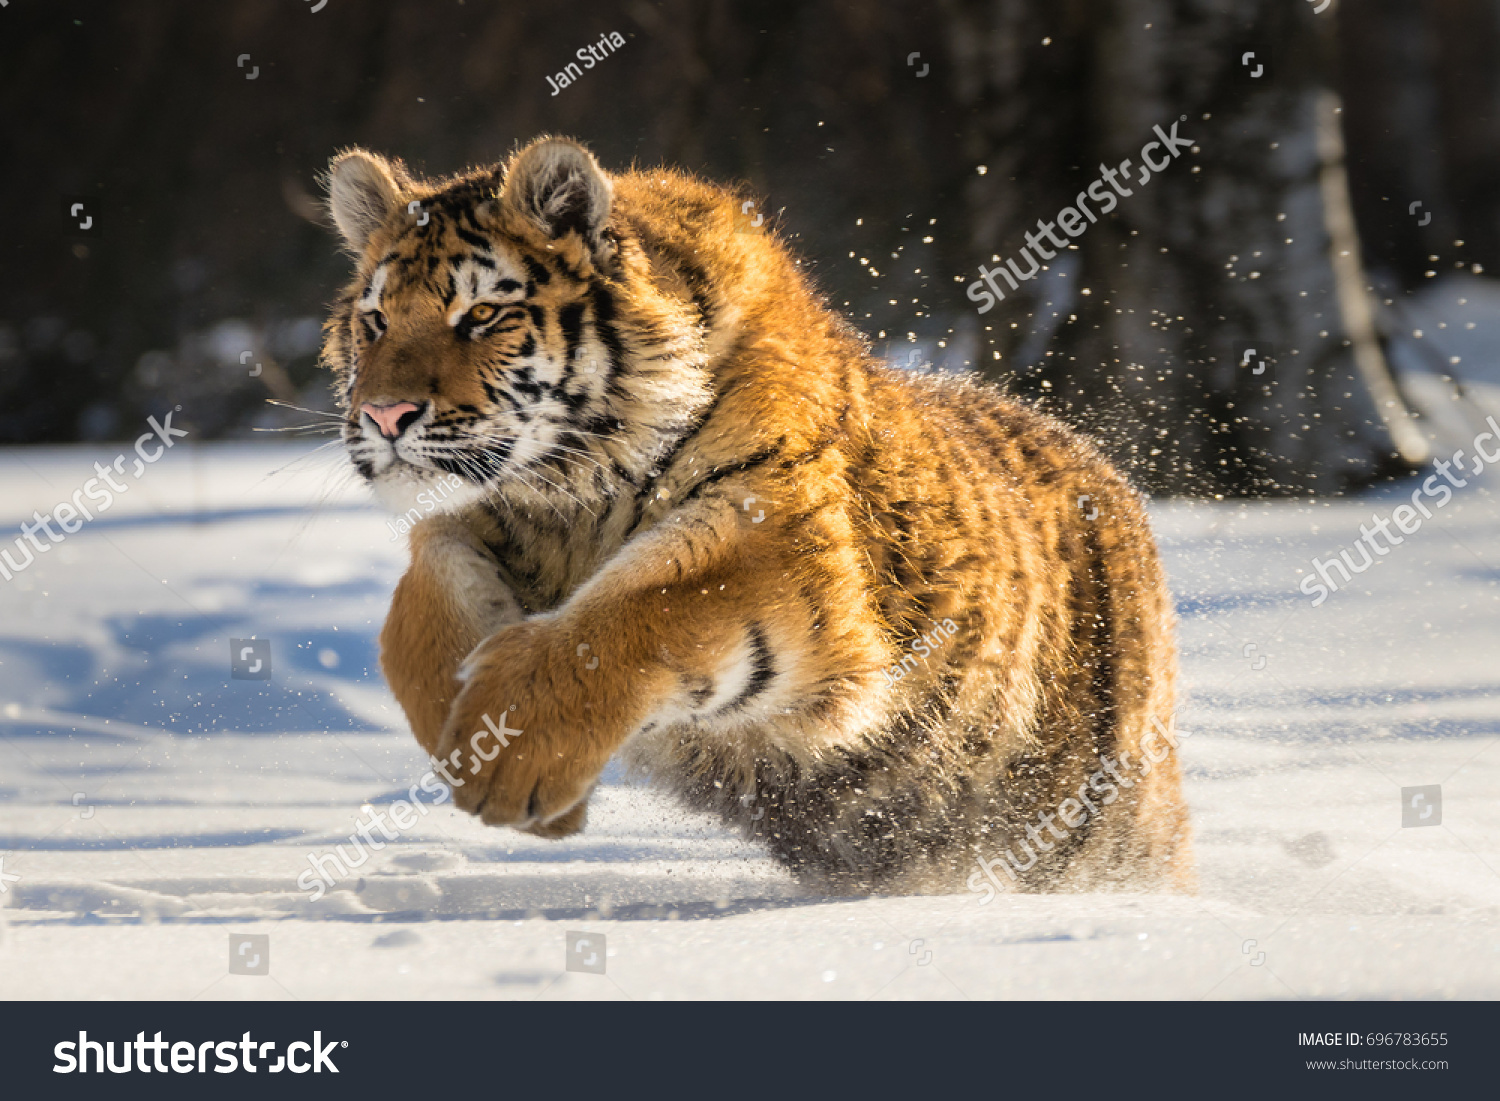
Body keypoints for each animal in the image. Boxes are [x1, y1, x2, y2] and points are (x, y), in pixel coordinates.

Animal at [319, 135, 1194, 900]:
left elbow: (626, 614)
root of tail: (1108, 474)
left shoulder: (776, 537)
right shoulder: (500, 519)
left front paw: (508, 763)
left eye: (481, 317)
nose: (384, 416)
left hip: (1098, 821)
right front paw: (471, 732)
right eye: (375, 320)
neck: (573, 485)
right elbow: (423, 584)